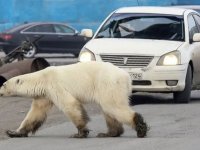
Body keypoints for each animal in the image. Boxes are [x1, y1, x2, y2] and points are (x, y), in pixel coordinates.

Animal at [0, 61, 148, 138]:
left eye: (3, 84)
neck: (42, 78)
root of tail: (126, 76)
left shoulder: (55, 86)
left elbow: (70, 105)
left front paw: (80, 133)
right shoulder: (45, 95)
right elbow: (36, 113)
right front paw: (13, 132)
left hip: (108, 84)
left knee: (112, 106)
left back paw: (140, 128)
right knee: (109, 111)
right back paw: (109, 133)